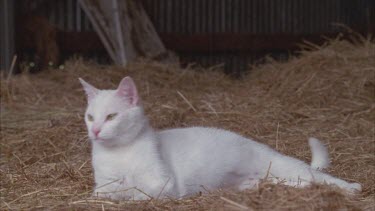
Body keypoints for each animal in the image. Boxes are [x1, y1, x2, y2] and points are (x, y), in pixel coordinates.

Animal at [78, 76, 362, 200]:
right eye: (90, 117)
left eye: (111, 116)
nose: (95, 131)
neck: (119, 152)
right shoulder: (102, 182)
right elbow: (106, 191)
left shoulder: (163, 182)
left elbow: (137, 190)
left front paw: (129, 194)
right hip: (270, 179)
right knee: (298, 183)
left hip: (287, 166)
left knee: (320, 178)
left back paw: (352, 188)